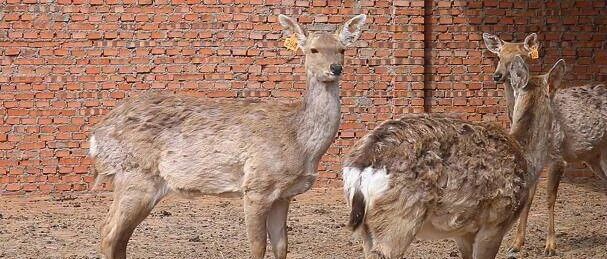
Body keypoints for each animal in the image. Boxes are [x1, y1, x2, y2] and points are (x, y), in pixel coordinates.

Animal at [88, 14, 368, 259]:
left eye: (342, 49)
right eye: (313, 50)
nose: (336, 68)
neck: (300, 142)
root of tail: (96, 136)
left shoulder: (284, 194)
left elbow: (281, 247)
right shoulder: (256, 185)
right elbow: (257, 247)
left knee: (119, 236)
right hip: (136, 175)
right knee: (109, 233)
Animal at [344, 57, 568, 259]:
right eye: (555, 98)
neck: (526, 156)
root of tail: (361, 166)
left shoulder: (464, 232)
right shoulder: (495, 223)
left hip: (367, 228)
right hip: (397, 220)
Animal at [484, 32, 607, 258]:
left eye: (520, 55)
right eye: (499, 55)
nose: (497, 75)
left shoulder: (558, 156)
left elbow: (550, 198)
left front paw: (550, 246)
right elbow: (529, 198)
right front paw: (516, 243)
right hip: (595, 157)